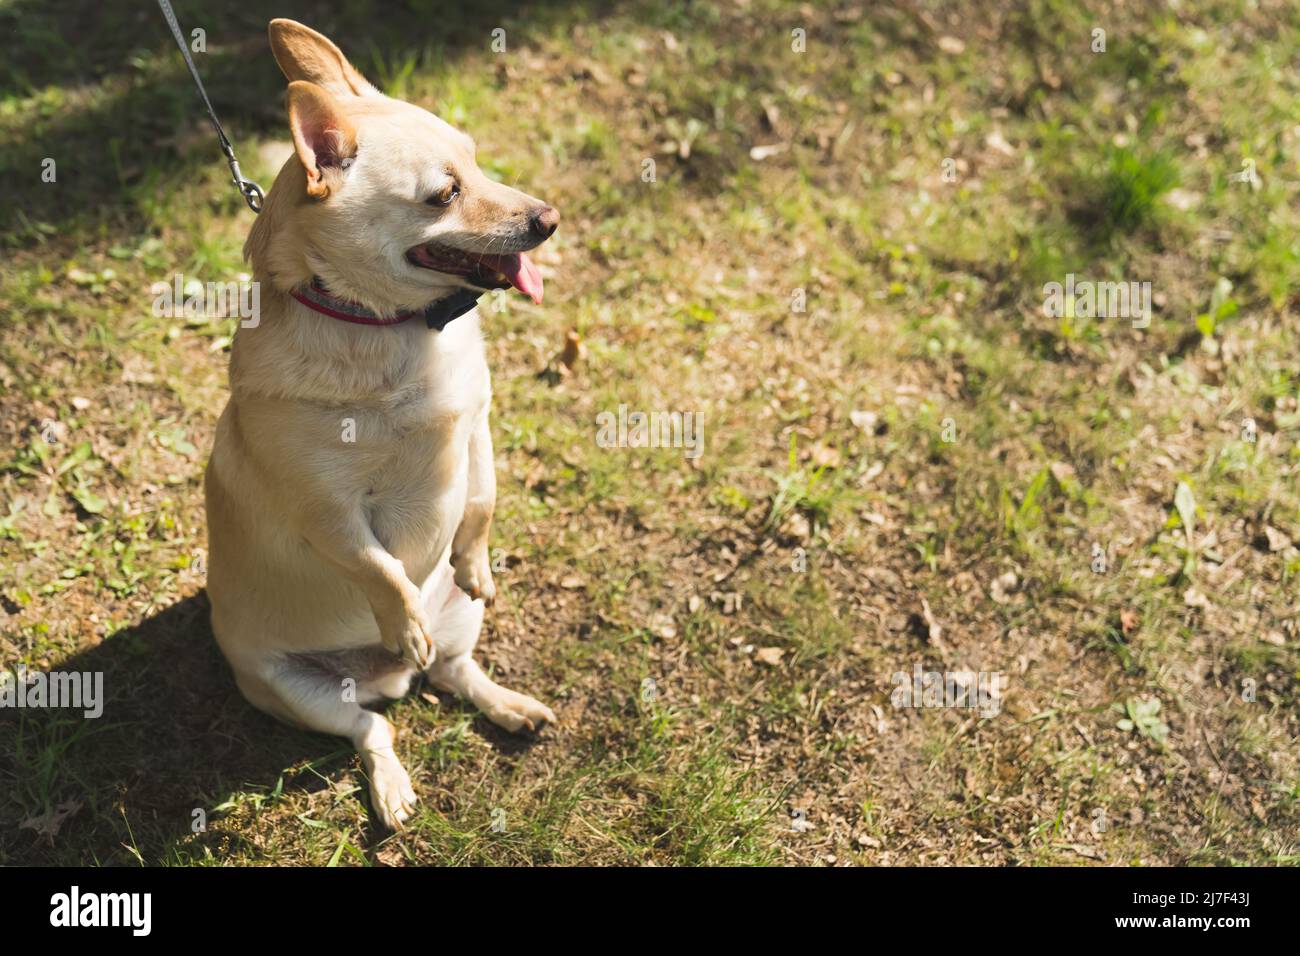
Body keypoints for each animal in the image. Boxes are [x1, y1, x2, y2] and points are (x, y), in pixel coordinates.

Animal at [202, 20, 559, 832]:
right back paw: (392, 774)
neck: (392, 329)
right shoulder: (327, 513)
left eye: (478, 161)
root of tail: (385, 679)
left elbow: (482, 498)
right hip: (291, 690)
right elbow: (377, 566)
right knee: (374, 728)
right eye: (444, 194)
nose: (548, 219)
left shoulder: (477, 427)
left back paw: (510, 705)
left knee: (457, 675)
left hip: (461, 622)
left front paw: (476, 559)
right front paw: (400, 618)